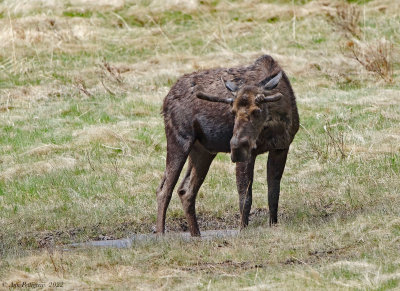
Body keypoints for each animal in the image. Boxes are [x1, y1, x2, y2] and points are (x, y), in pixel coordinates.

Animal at [155, 54, 298, 237]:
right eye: (233, 111)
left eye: (257, 110)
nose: (236, 146)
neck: (275, 124)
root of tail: (165, 100)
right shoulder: (249, 155)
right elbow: (245, 197)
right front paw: (242, 230)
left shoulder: (281, 148)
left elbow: (273, 193)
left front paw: (273, 225)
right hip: (179, 139)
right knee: (164, 190)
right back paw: (161, 235)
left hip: (203, 150)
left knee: (185, 191)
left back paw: (196, 235)